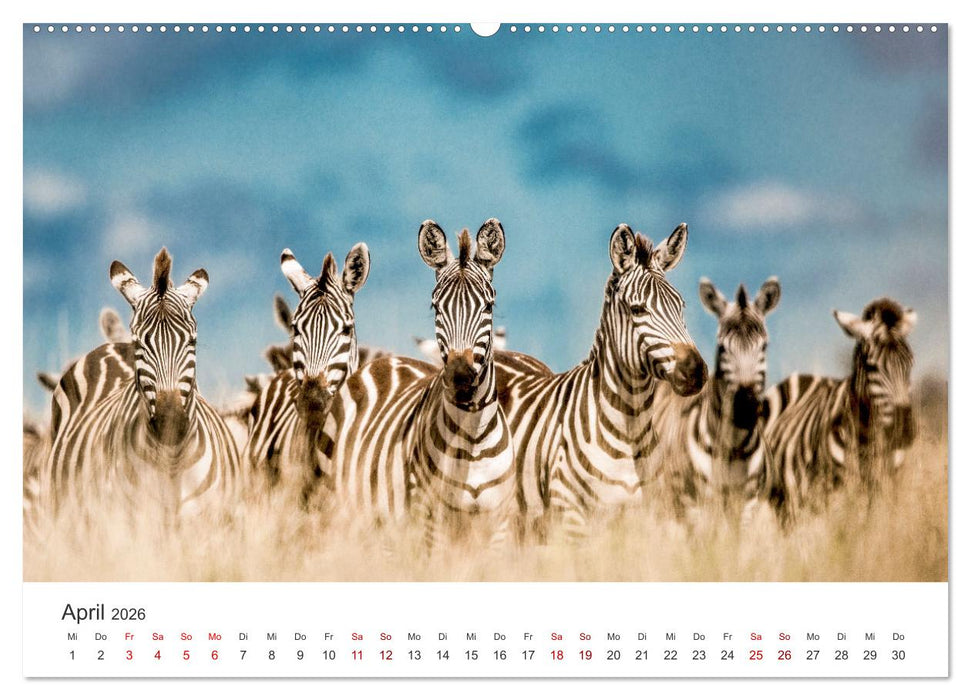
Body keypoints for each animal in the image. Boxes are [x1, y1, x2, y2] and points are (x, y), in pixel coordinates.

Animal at [321, 219, 516, 551]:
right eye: (436, 307)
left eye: (489, 306)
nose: (460, 378)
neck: (473, 438)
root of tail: (385, 362)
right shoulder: (431, 522)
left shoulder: (499, 525)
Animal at [495, 222, 708, 540]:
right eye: (637, 310)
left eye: (680, 306)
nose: (695, 371)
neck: (631, 429)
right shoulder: (572, 518)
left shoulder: (646, 517)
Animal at [646, 277, 781, 521]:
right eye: (722, 347)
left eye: (764, 346)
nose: (745, 407)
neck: (733, 448)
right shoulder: (695, 506)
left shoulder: (748, 504)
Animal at [762, 297, 917, 517]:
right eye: (871, 366)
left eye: (909, 363)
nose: (903, 430)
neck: (865, 441)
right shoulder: (834, 493)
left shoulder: (886, 486)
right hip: (783, 494)